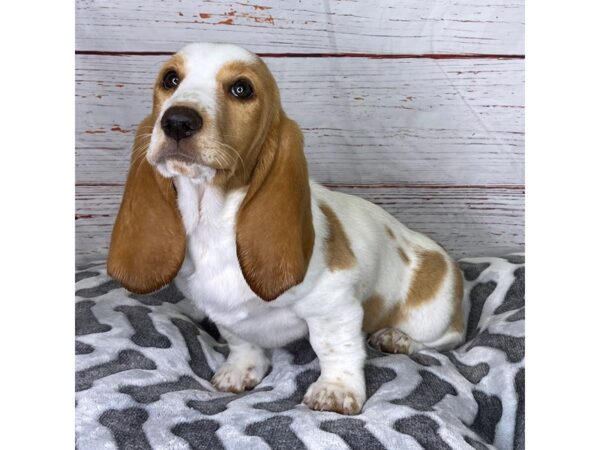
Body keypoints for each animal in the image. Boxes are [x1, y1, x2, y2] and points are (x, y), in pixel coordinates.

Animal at [106, 43, 464, 414]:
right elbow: (241, 342)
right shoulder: (225, 316)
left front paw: (335, 390)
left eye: (241, 89)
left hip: (429, 317)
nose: (177, 121)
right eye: (170, 79)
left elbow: (334, 347)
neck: (215, 224)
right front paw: (240, 371)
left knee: (445, 339)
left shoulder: (333, 306)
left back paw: (397, 337)